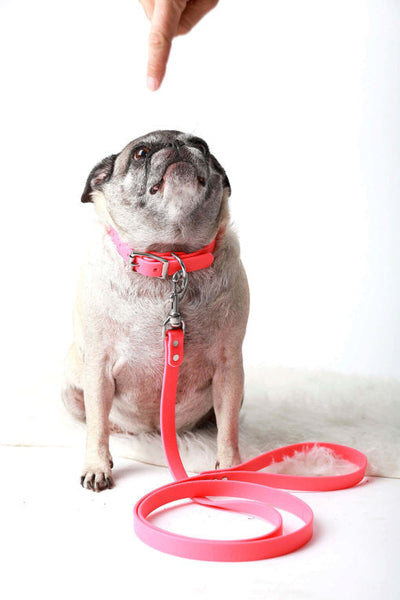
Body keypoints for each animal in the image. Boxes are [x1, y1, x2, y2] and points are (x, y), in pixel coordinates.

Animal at [62, 130, 249, 491]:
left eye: (201, 146)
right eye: (141, 153)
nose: (177, 144)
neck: (170, 258)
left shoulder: (229, 368)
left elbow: (229, 428)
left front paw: (231, 466)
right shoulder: (98, 369)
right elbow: (97, 426)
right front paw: (97, 465)